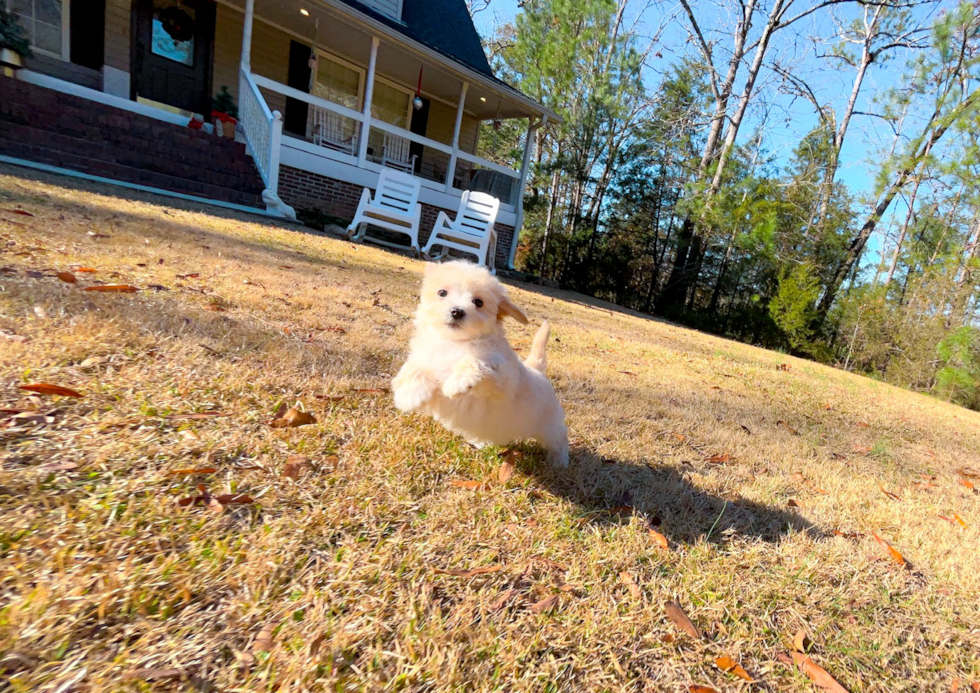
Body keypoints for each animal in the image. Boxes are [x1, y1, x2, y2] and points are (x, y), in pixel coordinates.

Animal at [394, 262, 572, 468]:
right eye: (442, 292)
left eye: (478, 302)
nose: (457, 311)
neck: (456, 341)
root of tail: (537, 371)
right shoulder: (427, 357)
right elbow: (415, 369)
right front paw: (408, 394)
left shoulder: (502, 381)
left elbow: (477, 361)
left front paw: (457, 383)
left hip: (549, 423)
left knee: (558, 438)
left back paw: (559, 460)